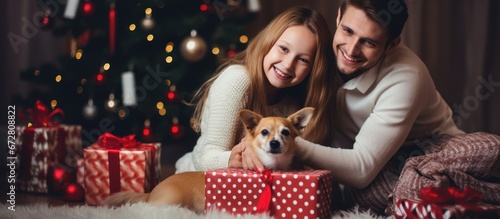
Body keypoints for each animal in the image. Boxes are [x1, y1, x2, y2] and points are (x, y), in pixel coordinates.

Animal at [106, 107, 312, 212]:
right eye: (264, 132)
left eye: (285, 133)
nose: (275, 143)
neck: (273, 165)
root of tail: (151, 192)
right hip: (170, 202)